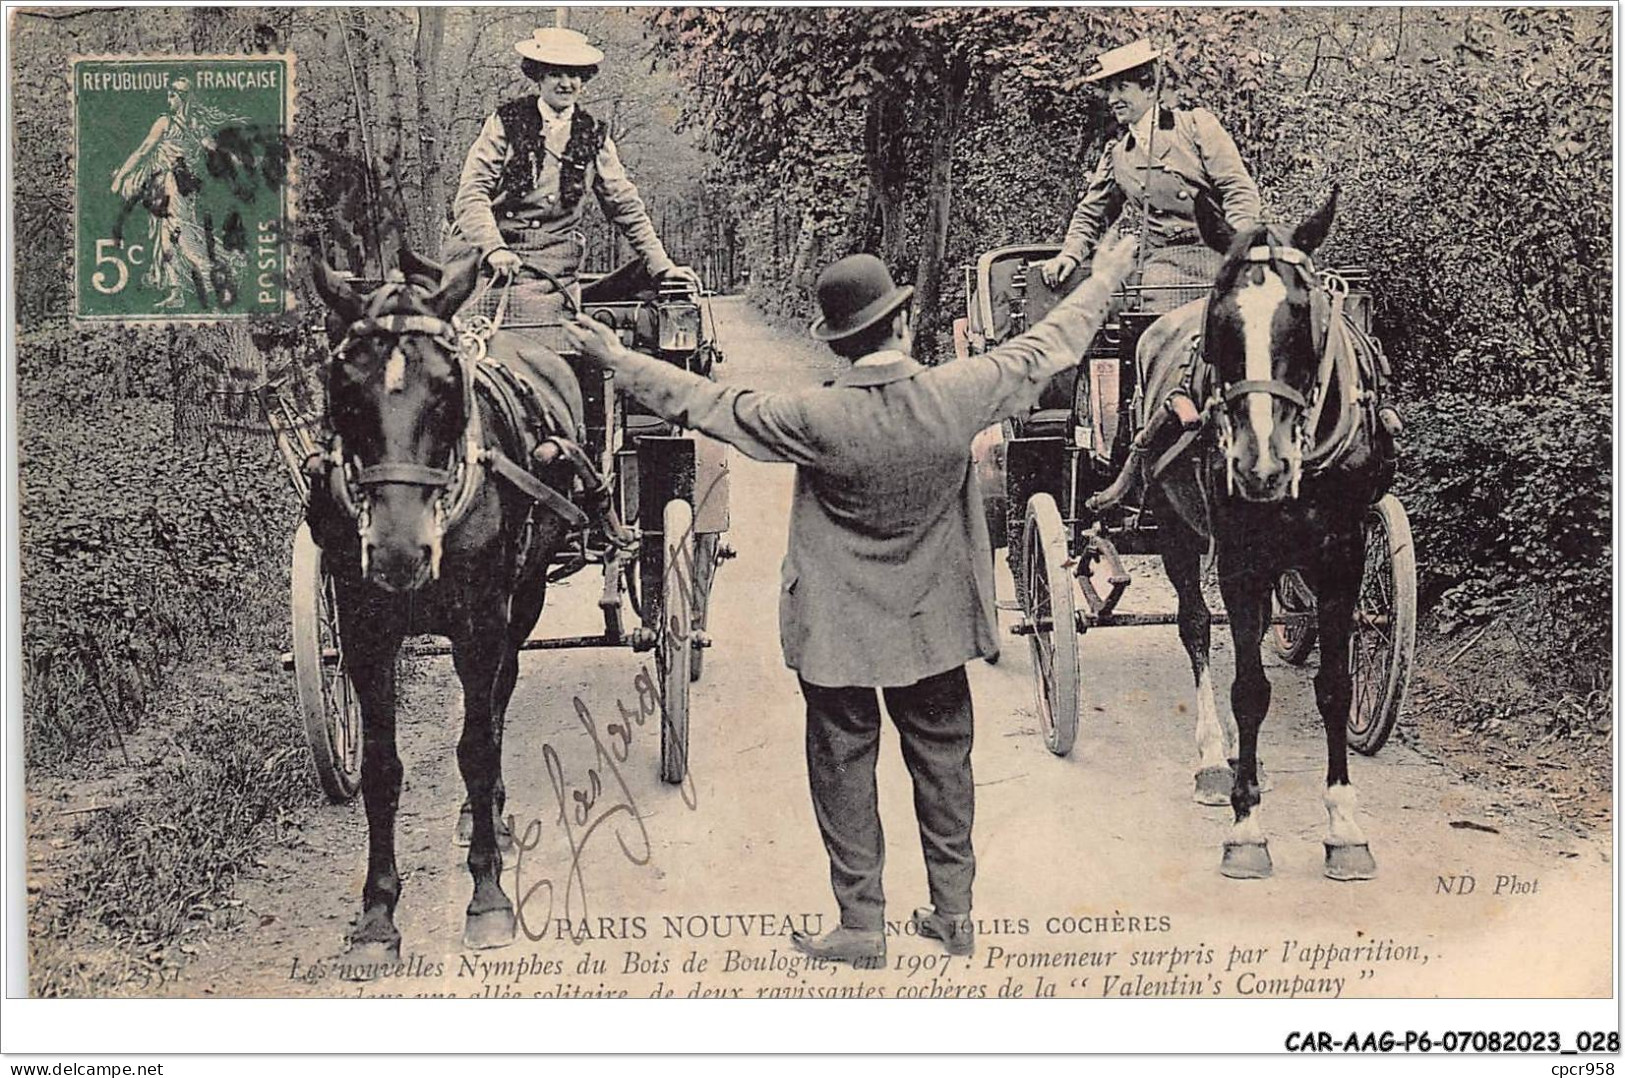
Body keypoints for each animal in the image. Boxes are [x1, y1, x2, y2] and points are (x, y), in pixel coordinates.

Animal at [305, 250, 585, 969]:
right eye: (344, 391)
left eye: (446, 389)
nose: (399, 552)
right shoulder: (362, 632)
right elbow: (381, 769)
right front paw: (377, 915)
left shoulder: (481, 624)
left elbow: (477, 747)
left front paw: (487, 896)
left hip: (526, 592)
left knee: (499, 694)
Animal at [1144, 189, 1397, 884]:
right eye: (1219, 322)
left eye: (1305, 315)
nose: (1261, 466)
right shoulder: (1237, 558)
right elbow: (1249, 691)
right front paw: (1247, 827)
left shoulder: (1344, 555)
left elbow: (1335, 688)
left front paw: (1344, 827)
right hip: (1175, 530)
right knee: (1197, 630)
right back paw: (1214, 760)